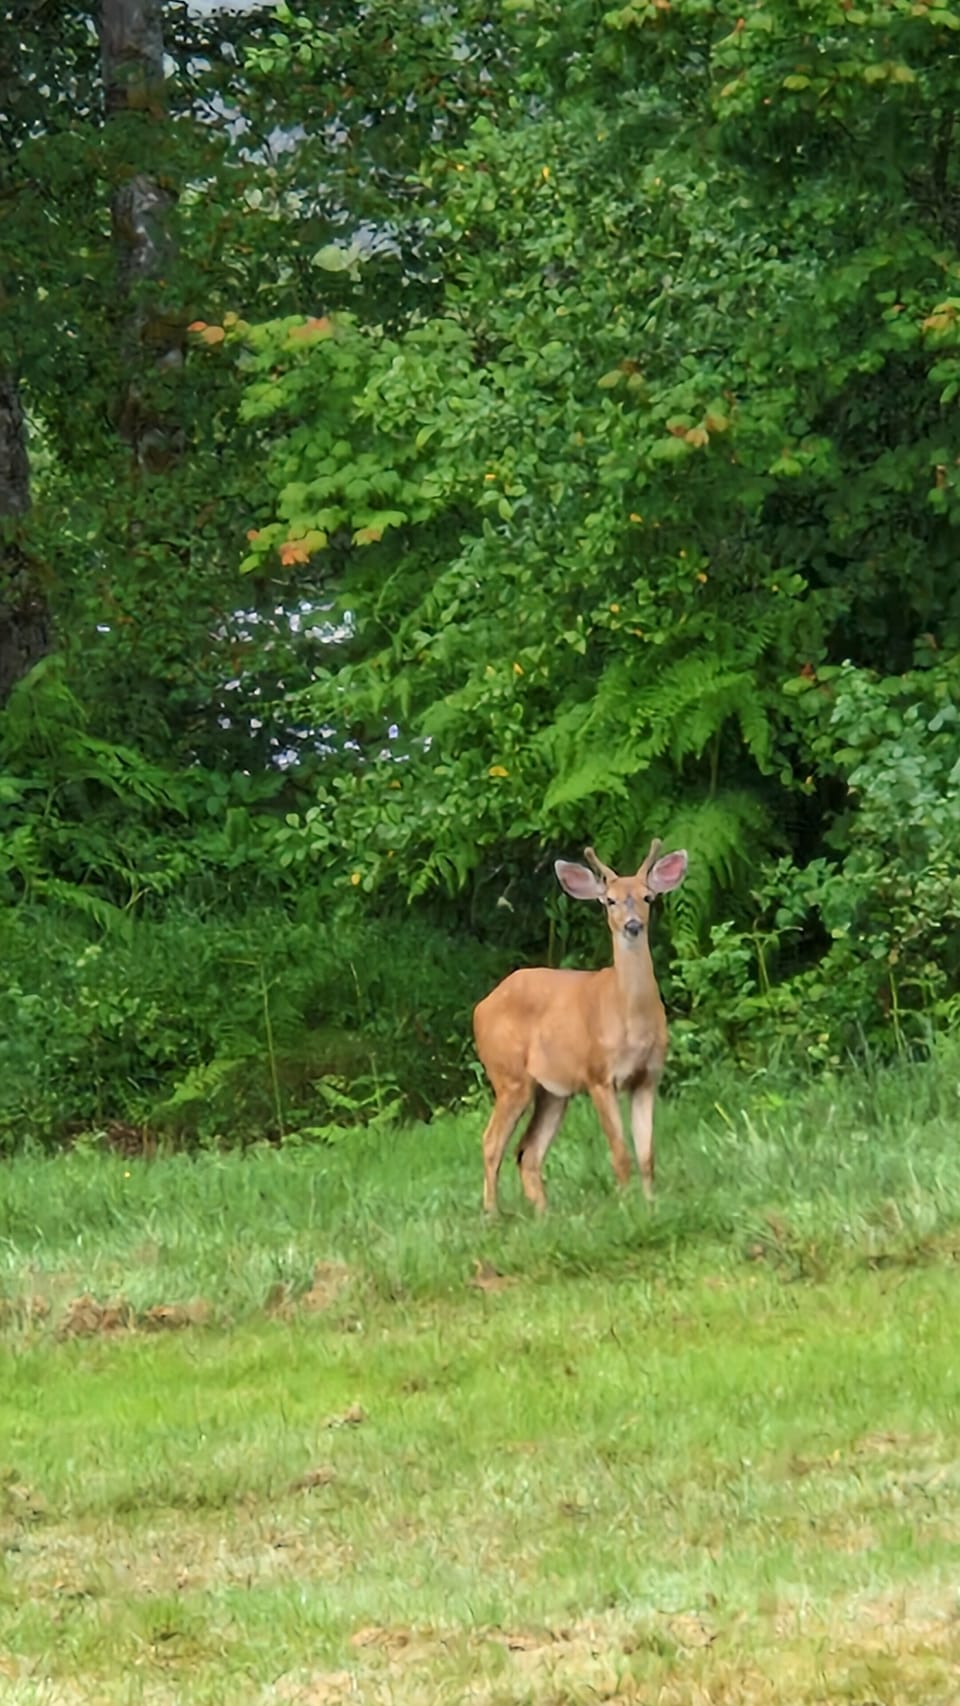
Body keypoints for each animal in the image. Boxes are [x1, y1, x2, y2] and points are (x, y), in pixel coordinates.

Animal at [473, 839, 688, 1214]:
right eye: (610, 900)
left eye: (648, 897)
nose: (633, 925)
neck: (630, 1020)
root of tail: (480, 1008)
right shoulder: (598, 1074)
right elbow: (620, 1154)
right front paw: (626, 1207)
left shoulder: (647, 1078)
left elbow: (647, 1155)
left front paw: (650, 1204)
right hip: (509, 1075)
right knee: (491, 1143)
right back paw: (493, 1214)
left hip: (553, 1092)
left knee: (528, 1151)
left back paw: (544, 1214)